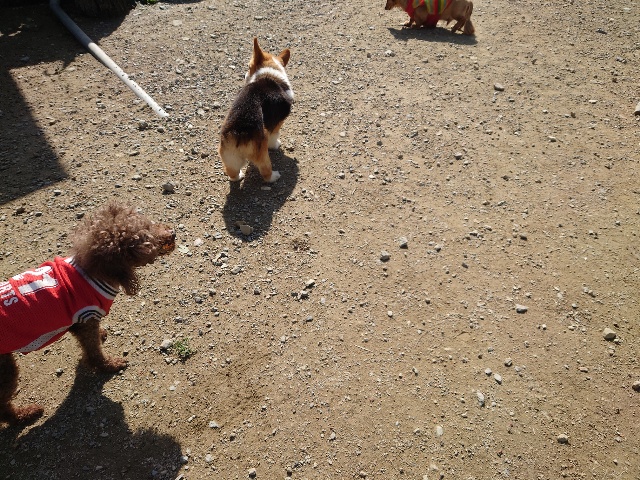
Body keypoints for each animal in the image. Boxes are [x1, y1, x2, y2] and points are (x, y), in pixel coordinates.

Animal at [0, 203, 175, 425]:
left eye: (148, 223)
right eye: (145, 238)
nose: (173, 233)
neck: (93, 273)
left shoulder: (81, 322)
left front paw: (102, 335)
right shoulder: (86, 319)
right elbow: (94, 352)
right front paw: (109, 365)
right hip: (5, 369)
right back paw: (25, 414)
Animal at [218, 37, 293, 183]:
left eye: (248, 66)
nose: (244, 75)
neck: (269, 72)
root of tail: (239, 131)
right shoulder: (277, 124)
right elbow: (275, 136)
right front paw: (276, 144)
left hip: (230, 157)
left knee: (231, 172)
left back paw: (239, 176)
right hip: (262, 154)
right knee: (265, 172)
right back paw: (274, 176)